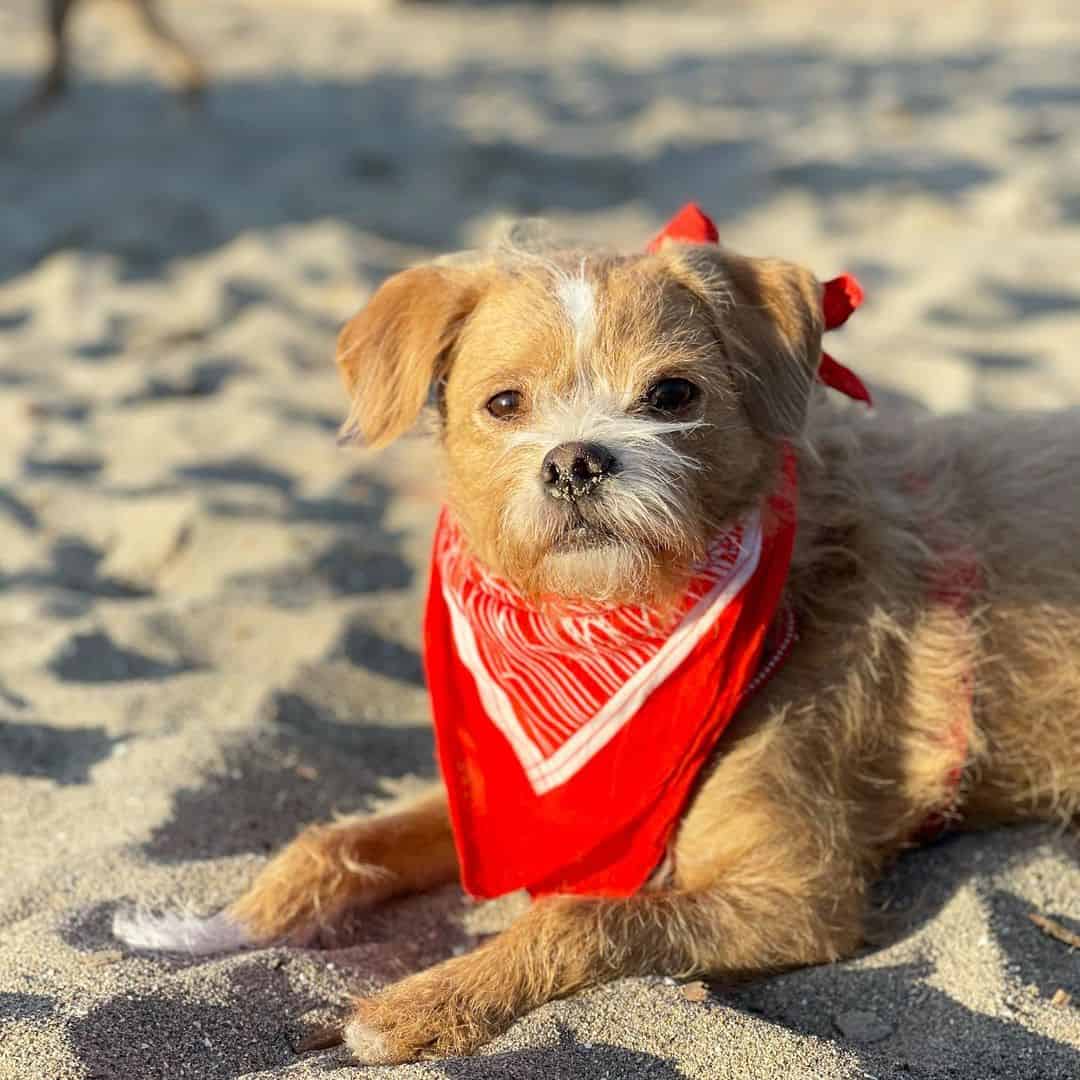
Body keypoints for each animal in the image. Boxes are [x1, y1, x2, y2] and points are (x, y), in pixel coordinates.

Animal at [113, 219, 1080, 1062]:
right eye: (504, 402)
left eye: (672, 394)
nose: (576, 460)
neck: (608, 621)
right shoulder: (494, 807)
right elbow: (337, 839)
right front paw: (210, 925)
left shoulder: (796, 896)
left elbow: (578, 915)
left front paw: (417, 1006)